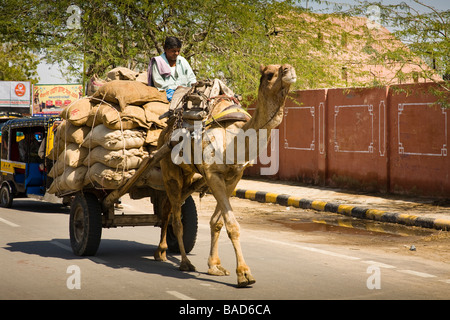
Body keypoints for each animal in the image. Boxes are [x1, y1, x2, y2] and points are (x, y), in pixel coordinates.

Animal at [154, 63, 296, 288]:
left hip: (186, 173)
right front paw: (244, 274)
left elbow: (218, 222)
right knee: (176, 218)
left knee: (168, 207)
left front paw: (215, 266)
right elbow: (232, 225)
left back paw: (161, 252)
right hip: (169, 168)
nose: (289, 70)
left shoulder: (234, 177)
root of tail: (164, 133)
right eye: (269, 74)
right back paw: (184, 262)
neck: (235, 139)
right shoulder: (213, 174)